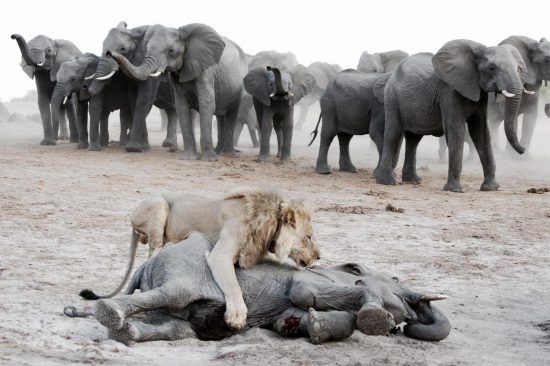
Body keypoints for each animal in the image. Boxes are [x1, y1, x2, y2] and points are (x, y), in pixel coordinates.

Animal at [66, 233, 452, 344]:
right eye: (397, 282)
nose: (406, 324)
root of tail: (145, 266)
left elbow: (290, 319)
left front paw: (311, 328)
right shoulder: (311, 279)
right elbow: (301, 292)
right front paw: (375, 319)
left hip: (176, 309)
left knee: (180, 329)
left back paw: (126, 333)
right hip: (183, 271)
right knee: (173, 294)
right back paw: (110, 315)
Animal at [80, 187, 322, 330]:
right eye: (309, 236)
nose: (320, 256)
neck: (269, 225)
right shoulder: (219, 255)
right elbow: (233, 285)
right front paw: (236, 315)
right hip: (159, 206)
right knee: (153, 253)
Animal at [110, 22, 248, 160]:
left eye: (170, 50)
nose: (109, 52)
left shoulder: (206, 69)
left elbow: (206, 102)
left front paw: (208, 160)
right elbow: (181, 105)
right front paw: (188, 158)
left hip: (239, 86)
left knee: (231, 113)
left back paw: (227, 153)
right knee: (220, 115)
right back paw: (219, 151)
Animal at [378, 40, 528, 193]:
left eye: (518, 68)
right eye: (492, 68)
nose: (523, 150)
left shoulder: (479, 95)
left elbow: (481, 132)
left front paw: (491, 188)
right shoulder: (449, 90)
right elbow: (456, 130)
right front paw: (455, 190)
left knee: (413, 139)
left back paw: (413, 180)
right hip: (392, 97)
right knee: (392, 135)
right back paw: (387, 181)